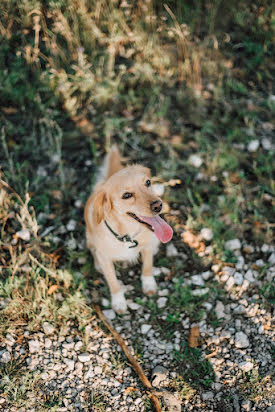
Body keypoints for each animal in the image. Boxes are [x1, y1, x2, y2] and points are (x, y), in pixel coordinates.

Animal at [85, 146, 174, 314]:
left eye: (147, 182)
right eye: (127, 195)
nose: (158, 205)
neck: (128, 235)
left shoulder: (147, 246)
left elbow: (147, 267)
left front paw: (148, 284)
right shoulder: (106, 258)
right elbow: (113, 282)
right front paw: (119, 302)